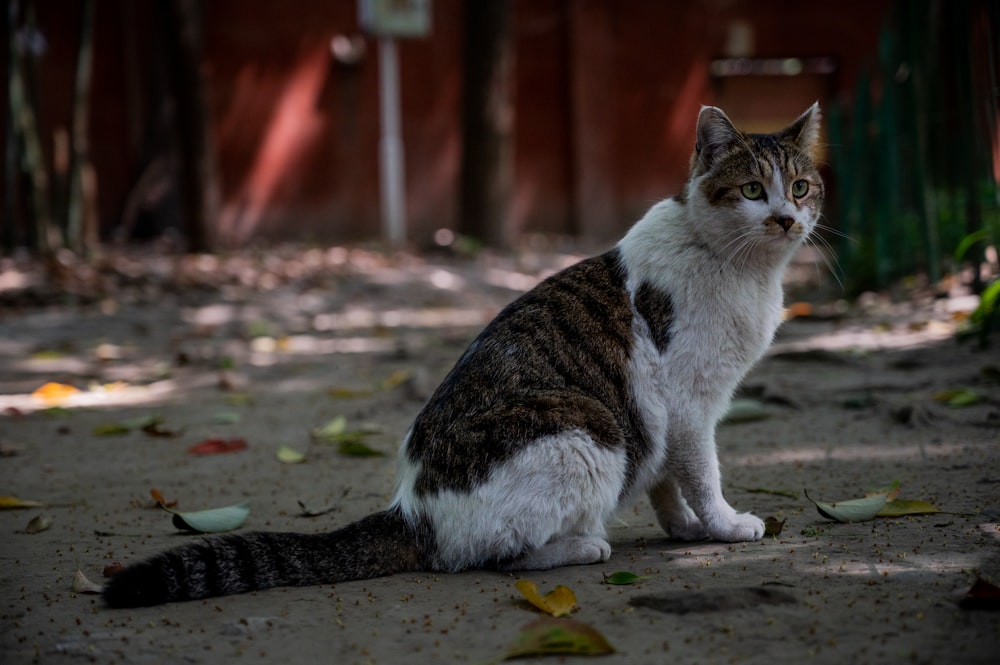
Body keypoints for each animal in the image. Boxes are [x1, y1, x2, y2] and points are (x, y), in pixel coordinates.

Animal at [101, 104, 824, 608]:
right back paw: (582, 543)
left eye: (801, 187)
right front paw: (723, 525)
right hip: (588, 427)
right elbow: (700, 473)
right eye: (752, 190)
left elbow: (668, 479)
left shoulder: (670, 421)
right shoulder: (689, 404)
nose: (786, 219)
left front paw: (683, 528)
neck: (741, 268)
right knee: (488, 556)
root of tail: (412, 507)